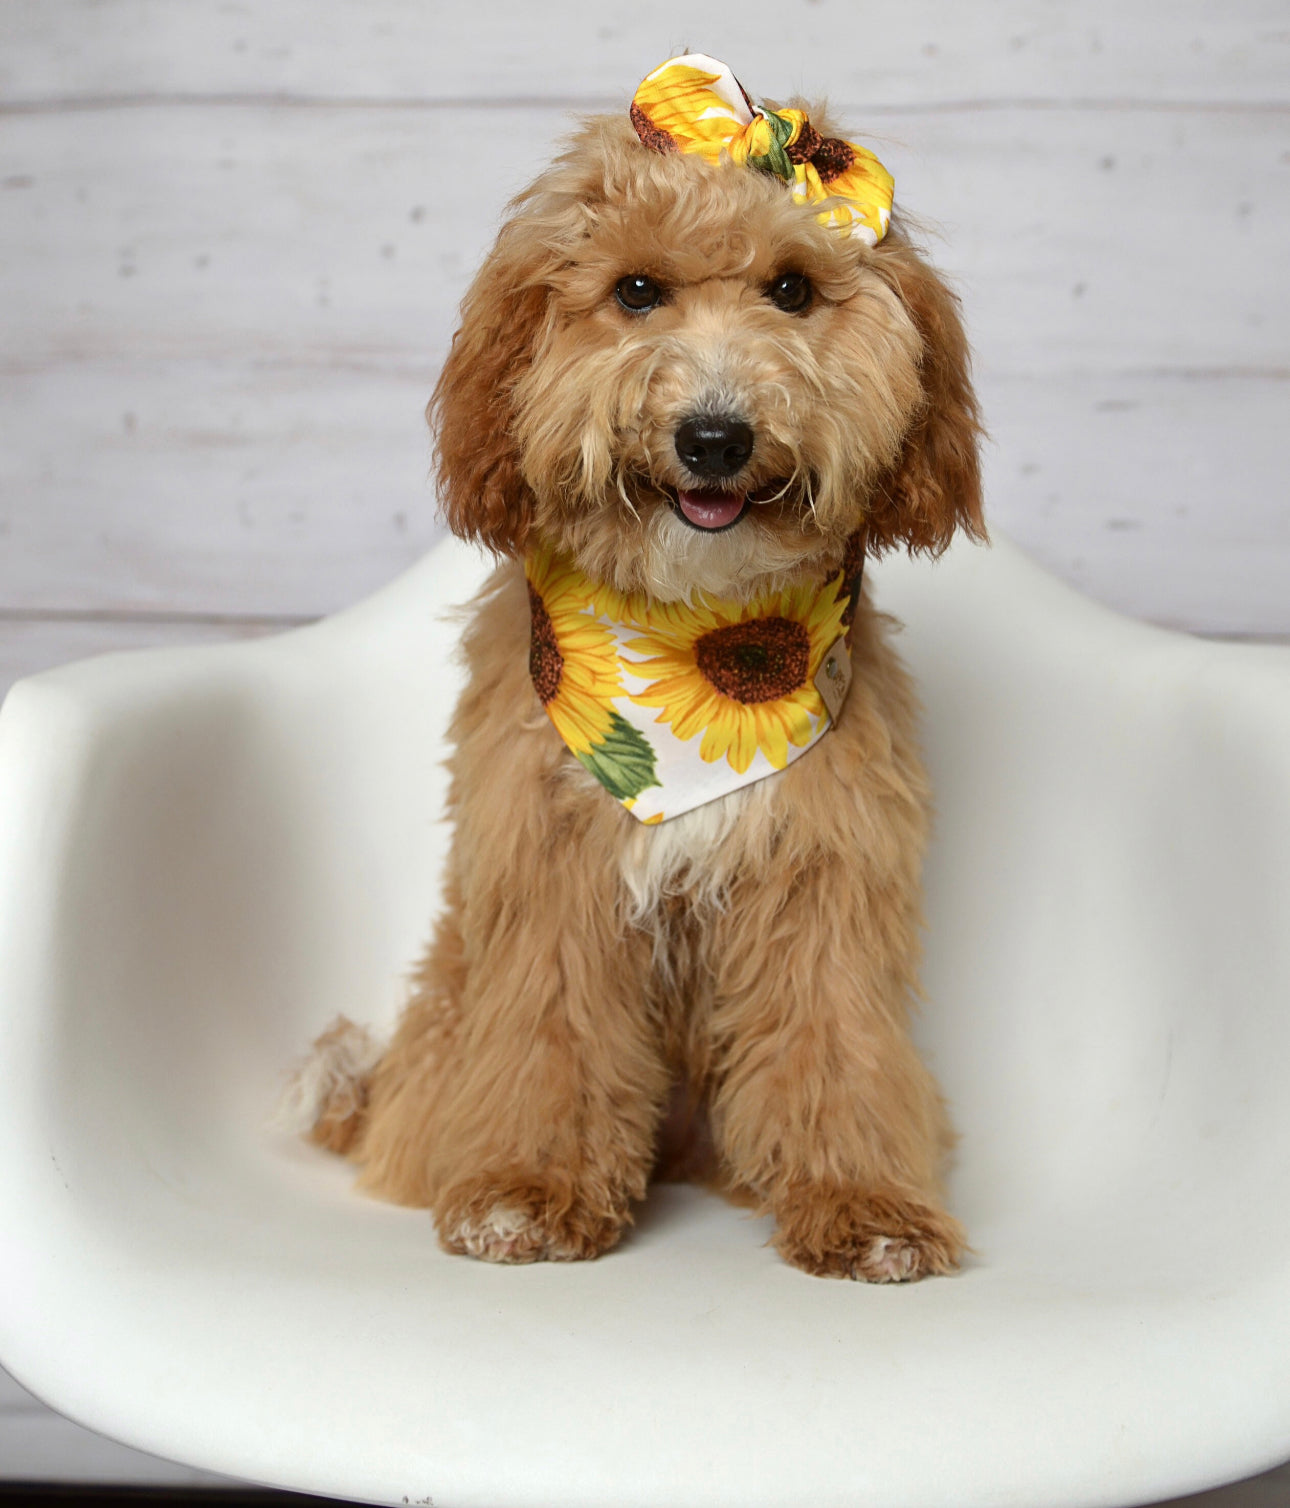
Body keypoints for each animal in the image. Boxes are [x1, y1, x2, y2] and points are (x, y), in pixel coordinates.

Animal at [282, 58, 983, 1284]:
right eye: (637, 290)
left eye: (793, 289)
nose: (713, 437)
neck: (699, 634)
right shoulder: (552, 881)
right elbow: (552, 1044)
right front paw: (528, 1192)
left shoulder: (826, 882)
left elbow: (835, 1046)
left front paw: (864, 1205)